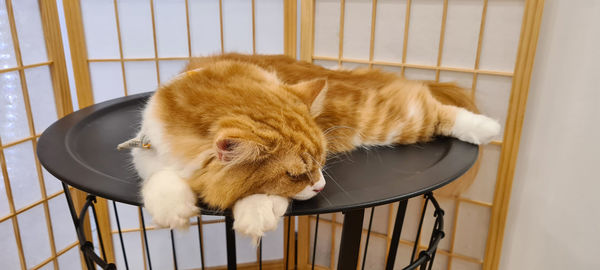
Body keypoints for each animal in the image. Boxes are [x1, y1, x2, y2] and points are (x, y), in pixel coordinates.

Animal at [124, 53, 500, 242]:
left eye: (320, 162)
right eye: (295, 174)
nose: (321, 185)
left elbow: (260, 199)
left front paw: (255, 214)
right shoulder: (146, 150)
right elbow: (159, 178)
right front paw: (173, 210)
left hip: (389, 122)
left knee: (435, 107)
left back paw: (487, 127)